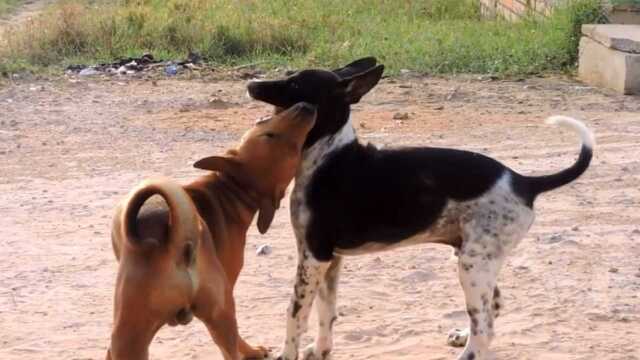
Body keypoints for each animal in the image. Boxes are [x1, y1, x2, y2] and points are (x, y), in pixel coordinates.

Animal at [107, 102, 318, 360]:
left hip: (137, 333)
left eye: (296, 148)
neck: (234, 190)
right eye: (268, 133)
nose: (305, 105)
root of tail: (174, 240)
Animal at [246, 58, 596, 360]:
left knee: (485, 324)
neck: (328, 155)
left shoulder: (314, 257)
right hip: (475, 260)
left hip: (473, 265)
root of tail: (524, 182)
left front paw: (287, 354)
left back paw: (468, 353)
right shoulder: (330, 261)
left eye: (294, 84)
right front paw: (321, 351)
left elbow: (295, 314)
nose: (251, 83)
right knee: (492, 307)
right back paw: (462, 336)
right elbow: (326, 312)